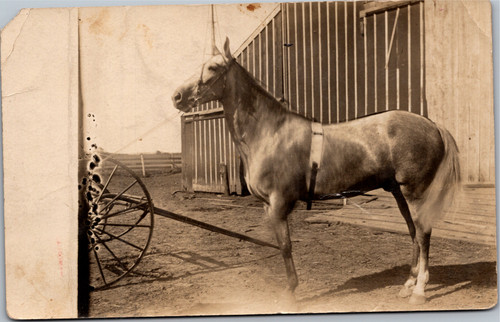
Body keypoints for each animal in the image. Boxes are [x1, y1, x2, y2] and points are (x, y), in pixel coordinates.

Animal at [172, 37, 460, 304]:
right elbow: (282, 245)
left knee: (423, 233)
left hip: (415, 193)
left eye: (213, 67)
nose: (177, 96)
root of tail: (432, 125)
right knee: (414, 233)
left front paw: (290, 293)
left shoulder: (279, 204)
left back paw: (419, 291)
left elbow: (286, 246)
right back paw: (408, 284)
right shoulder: (268, 205)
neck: (269, 133)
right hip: (399, 193)